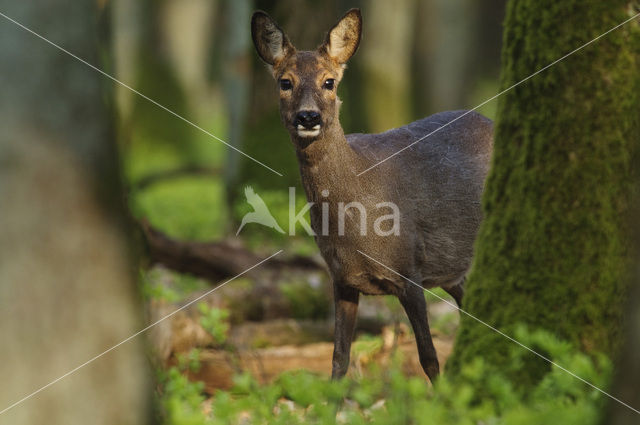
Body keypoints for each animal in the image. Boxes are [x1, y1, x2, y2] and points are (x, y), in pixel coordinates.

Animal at [252, 8, 492, 380]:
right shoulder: (342, 279)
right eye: (285, 82)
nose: (308, 116)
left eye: (329, 81)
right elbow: (338, 359)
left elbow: (429, 357)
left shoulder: (410, 270)